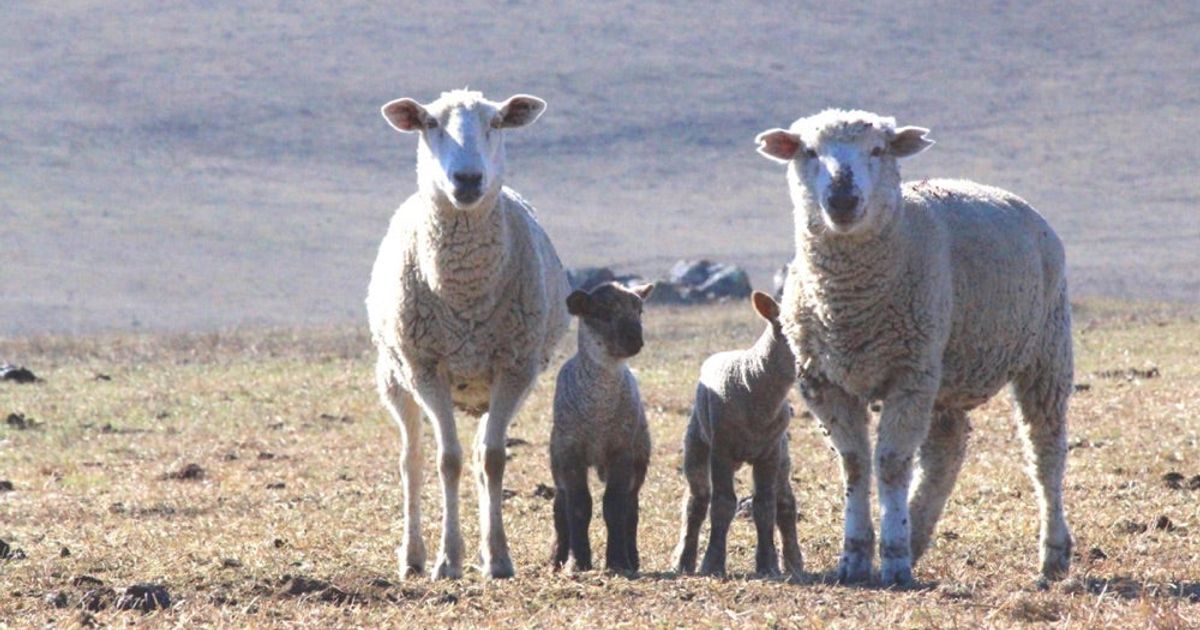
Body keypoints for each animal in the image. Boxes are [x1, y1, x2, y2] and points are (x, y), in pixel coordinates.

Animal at [367, 89, 569, 580]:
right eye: (429, 124)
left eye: (495, 123)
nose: (468, 178)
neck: (465, 291)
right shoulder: (425, 368)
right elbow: (447, 460)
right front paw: (447, 560)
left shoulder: (514, 366)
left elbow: (491, 459)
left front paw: (496, 557)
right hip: (393, 375)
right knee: (411, 461)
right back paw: (412, 556)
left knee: (480, 453)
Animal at [549, 281, 654, 574]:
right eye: (602, 312)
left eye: (639, 311)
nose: (635, 340)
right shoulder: (570, 452)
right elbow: (578, 505)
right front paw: (577, 562)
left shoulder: (622, 451)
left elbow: (615, 505)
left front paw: (618, 561)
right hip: (555, 459)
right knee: (559, 505)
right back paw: (556, 558)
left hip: (640, 459)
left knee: (632, 507)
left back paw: (633, 557)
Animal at [672, 291, 804, 580]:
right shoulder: (721, 448)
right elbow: (722, 503)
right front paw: (712, 563)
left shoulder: (770, 452)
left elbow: (765, 505)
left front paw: (768, 564)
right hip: (697, 441)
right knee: (697, 500)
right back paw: (683, 561)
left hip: (783, 454)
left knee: (785, 502)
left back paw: (795, 564)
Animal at [755, 109, 1074, 586]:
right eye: (808, 151)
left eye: (877, 150)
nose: (843, 199)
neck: (850, 304)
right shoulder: (823, 381)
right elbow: (854, 462)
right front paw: (855, 557)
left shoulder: (909, 375)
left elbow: (889, 463)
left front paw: (893, 560)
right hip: (947, 369)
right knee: (947, 448)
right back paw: (918, 530)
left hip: (1045, 350)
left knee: (1045, 449)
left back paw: (1053, 555)